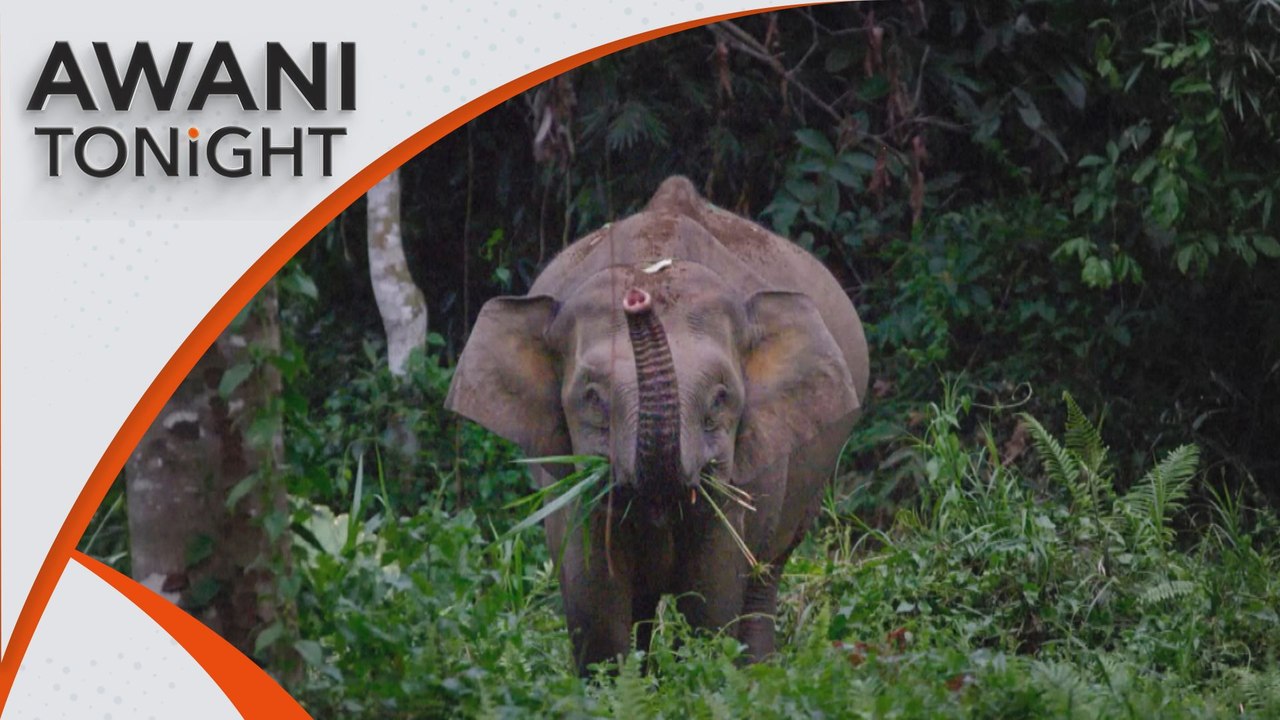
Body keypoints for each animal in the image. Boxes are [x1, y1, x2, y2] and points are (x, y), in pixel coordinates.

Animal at [445, 175, 869, 675]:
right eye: (592, 397)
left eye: (721, 398)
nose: (638, 296)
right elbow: (595, 595)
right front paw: (618, 683)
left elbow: (712, 597)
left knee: (763, 578)